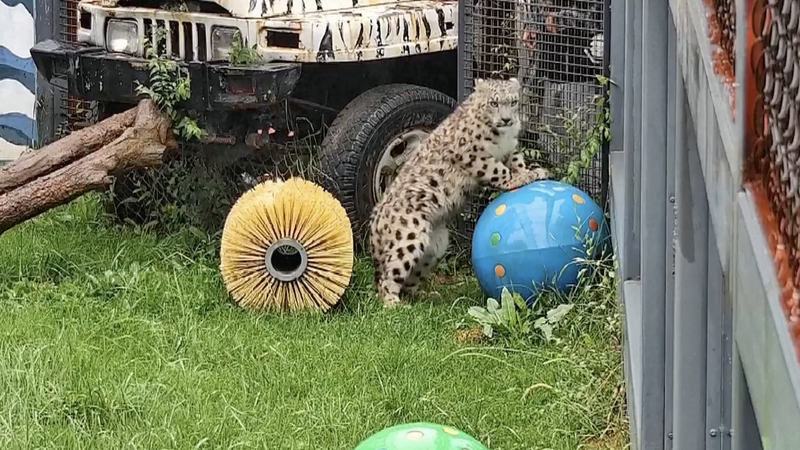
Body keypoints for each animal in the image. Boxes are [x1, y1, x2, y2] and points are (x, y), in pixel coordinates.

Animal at [369, 77, 551, 308]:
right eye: (493, 103)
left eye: (513, 102)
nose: (506, 119)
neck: (502, 137)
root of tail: (375, 224)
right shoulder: (473, 156)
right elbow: (499, 171)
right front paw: (520, 178)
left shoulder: (511, 149)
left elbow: (517, 162)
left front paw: (531, 171)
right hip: (408, 238)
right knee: (388, 276)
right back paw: (393, 303)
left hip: (435, 246)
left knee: (411, 276)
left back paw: (424, 297)